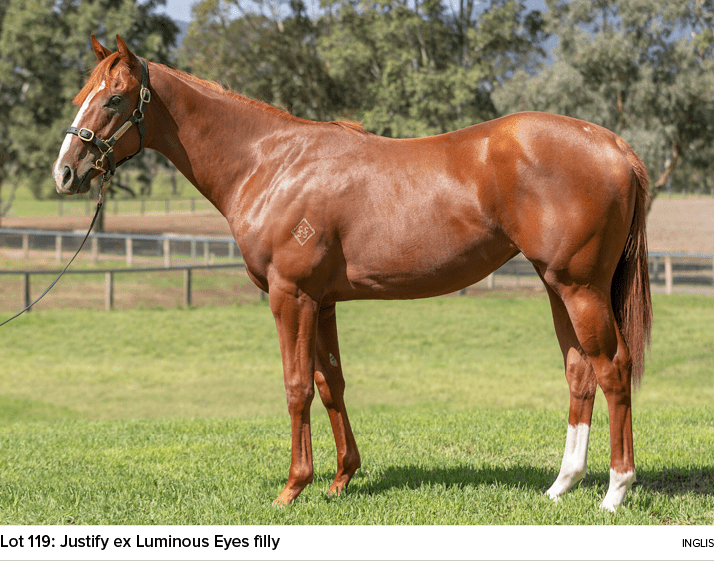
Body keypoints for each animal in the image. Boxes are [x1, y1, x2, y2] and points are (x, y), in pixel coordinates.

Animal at [54, 35, 652, 512]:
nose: (65, 173)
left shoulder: (290, 295)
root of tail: (613, 144)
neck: (270, 162)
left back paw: (615, 491)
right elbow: (330, 382)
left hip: (580, 288)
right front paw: (341, 479)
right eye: (82, 95)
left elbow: (296, 386)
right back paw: (561, 485)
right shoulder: (322, 301)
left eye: (113, 98)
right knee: (579, 371)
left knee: (613, 368)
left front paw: (293, 487)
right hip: (558, 286)